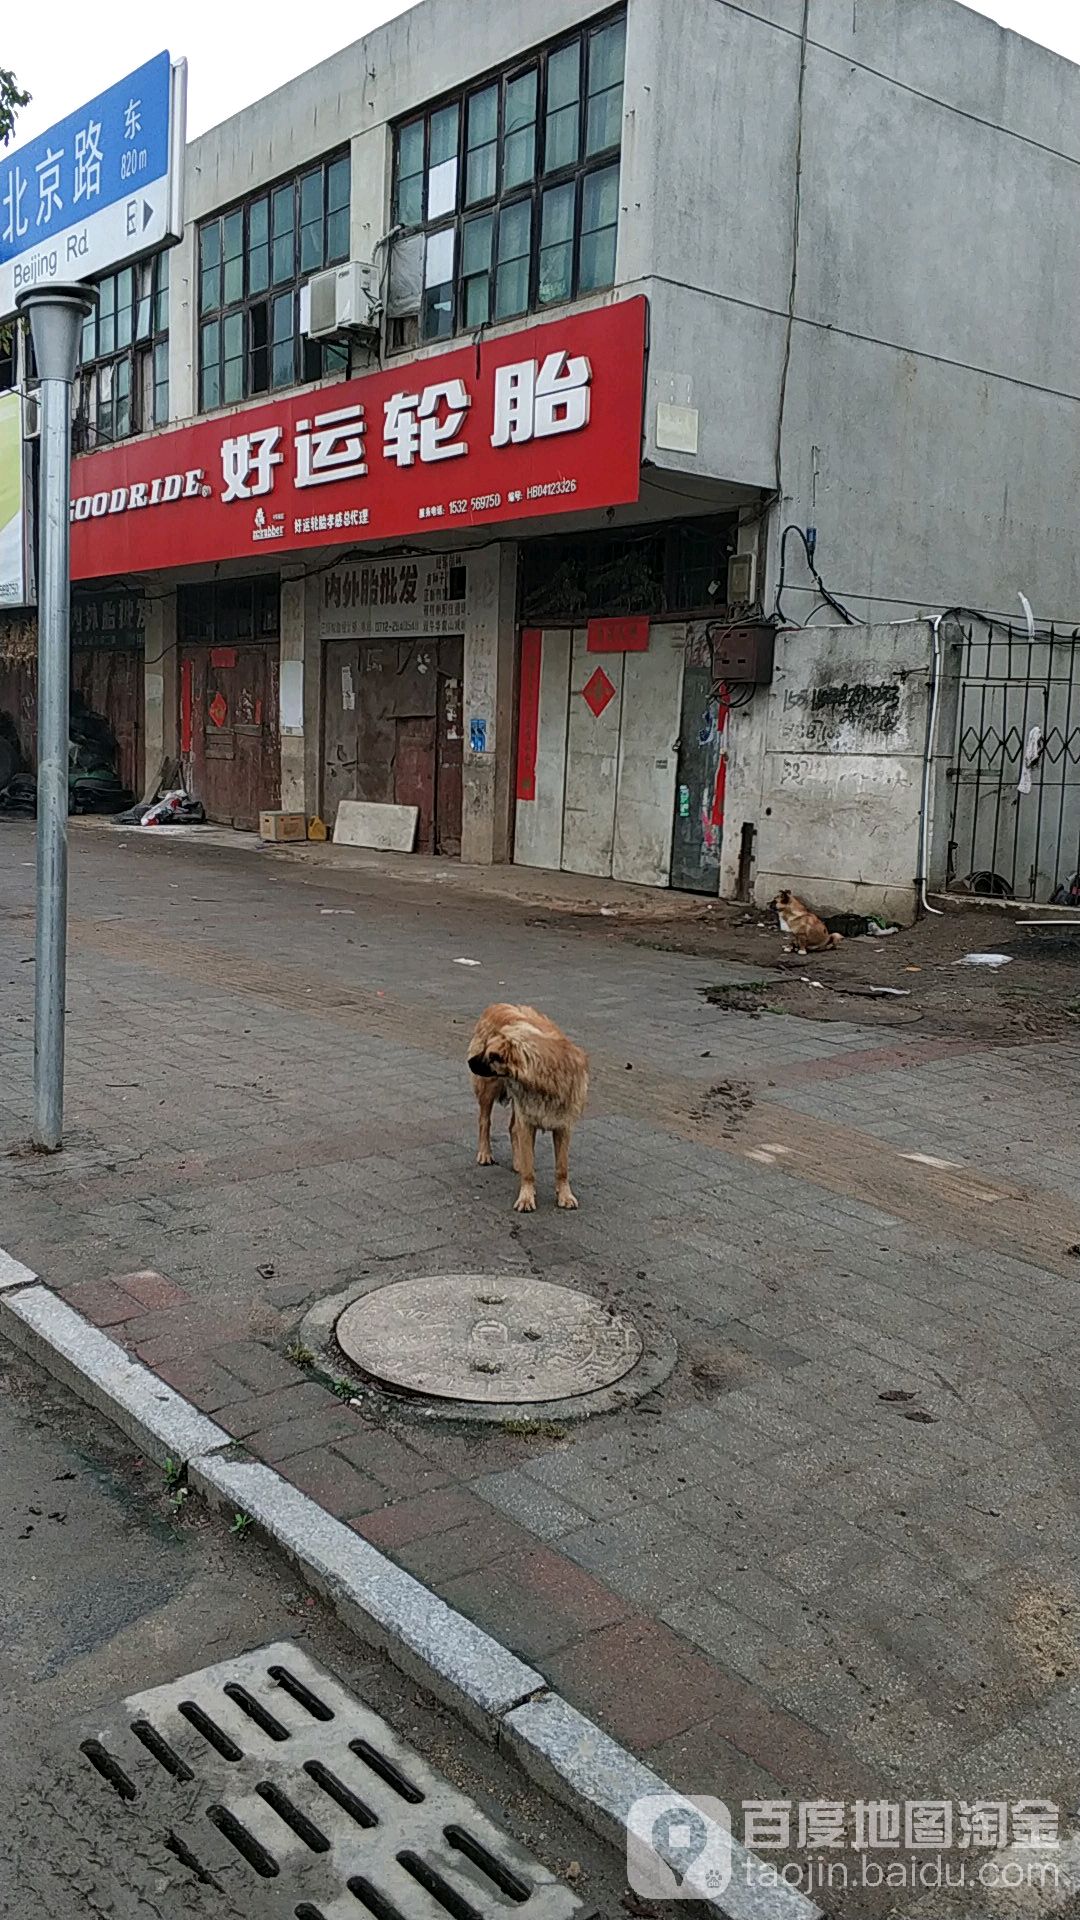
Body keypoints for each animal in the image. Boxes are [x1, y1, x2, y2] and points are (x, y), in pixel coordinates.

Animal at [466, 1006, 588, 1213]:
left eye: (491, 1056)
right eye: (486, 1051)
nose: (469, 1062)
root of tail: (494, 1006)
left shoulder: (563, 1126)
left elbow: (562, 1167)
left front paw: (565, 1195)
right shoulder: (528, 1122)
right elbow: (529, 1168)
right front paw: (526, 1198)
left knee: (512, 1128)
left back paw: (517, 1162)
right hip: (489, 1088)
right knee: (484, 1121)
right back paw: (485, 1153)